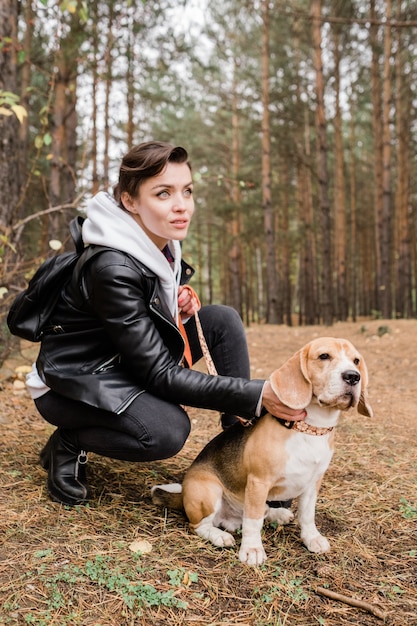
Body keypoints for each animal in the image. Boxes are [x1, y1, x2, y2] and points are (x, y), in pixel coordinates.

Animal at [151, 338, 372, 564]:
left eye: (356, 361)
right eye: (324, 356)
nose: (353, 376)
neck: (311, 428)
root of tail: (183, 494)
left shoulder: (313, 483)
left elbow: (307, 515)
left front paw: (312, 538)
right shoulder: (259, 482)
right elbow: (254, 520)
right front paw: (252, 549)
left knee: (260, 512)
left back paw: (278, 514)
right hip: (209, 490)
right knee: (199, 525)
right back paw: (219, 536)